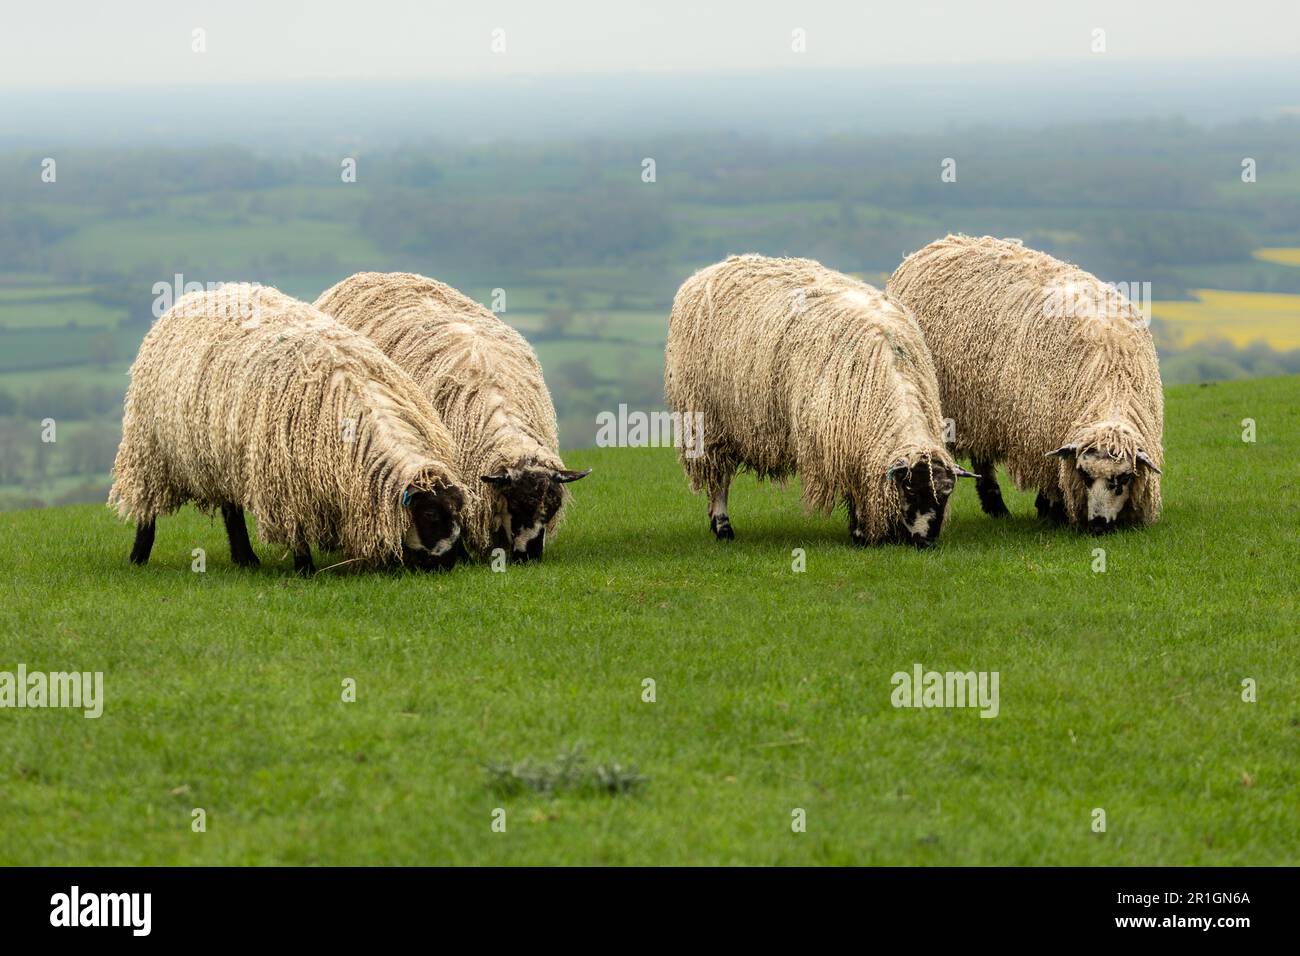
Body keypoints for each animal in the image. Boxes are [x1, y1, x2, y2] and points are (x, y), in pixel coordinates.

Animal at [107, 280, 473, 572]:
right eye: (430, 515)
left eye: (458, 513)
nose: (449, 563)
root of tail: (201, 294)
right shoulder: (287, 480)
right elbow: (296, 528)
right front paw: (304, 568)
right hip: (151, 452)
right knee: (148, 509)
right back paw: (138, 556)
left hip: (224, 453)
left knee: (231, 509)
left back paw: (245, 558)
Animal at [665, 254, 972, 548]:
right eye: (910, 489)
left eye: (947, 494)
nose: (927, 541)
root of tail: (706, 273)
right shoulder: (837, 441)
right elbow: (853, 486)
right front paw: (861, 534)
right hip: (707, 423)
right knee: (719, 480)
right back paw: (723, 527)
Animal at [889, 231, 1164, 530]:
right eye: (1085, 476)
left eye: (1124, 478)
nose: (1098, 525)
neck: (1111, 381)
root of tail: (943, 242)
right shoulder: (1042, 431)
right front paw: (1051, 509)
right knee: (982, 461)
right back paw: (996, 506)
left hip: (981, 408)